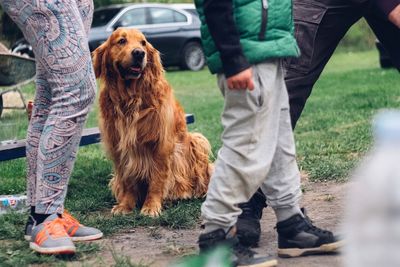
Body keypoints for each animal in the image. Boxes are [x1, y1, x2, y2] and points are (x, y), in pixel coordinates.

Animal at [93, 28, 212, 218]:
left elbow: (157, 180)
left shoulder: (161, 144)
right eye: (121, 41)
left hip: (196, 141)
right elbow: (128, 180)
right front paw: (126, 205)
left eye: (143, 43)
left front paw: (151, 206)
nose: (139, 53)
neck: (130, 98)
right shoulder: (119, 146)